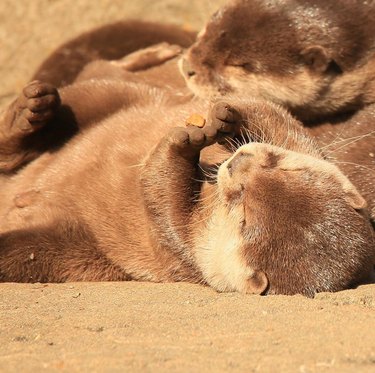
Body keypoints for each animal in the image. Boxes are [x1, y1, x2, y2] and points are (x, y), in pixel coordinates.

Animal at [0, 59, 375, 296]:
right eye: (275, 163)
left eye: (243, 213)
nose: (239, 160)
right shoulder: (303, 141)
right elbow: (268, 111)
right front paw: (227, 115)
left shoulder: (189, 254)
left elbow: (162, 202)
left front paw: (182, 144)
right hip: (120, 95)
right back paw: (29, 112)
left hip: (66, 250)